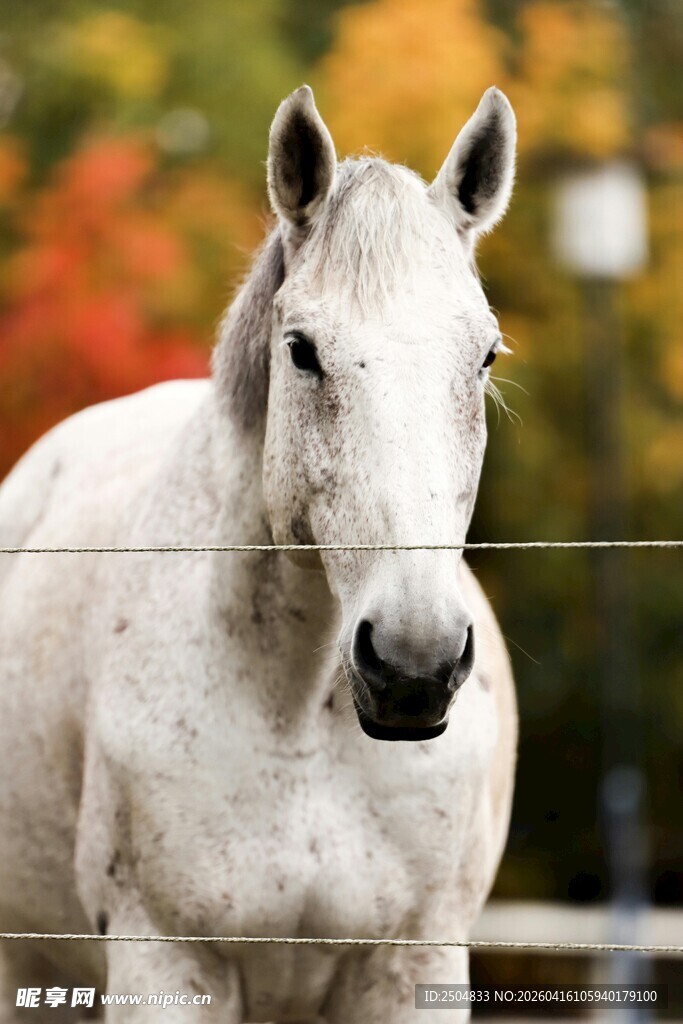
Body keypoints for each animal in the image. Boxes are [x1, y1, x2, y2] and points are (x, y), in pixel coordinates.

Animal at [0, 85, 517, 1022]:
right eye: (302, 351)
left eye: (484, 355)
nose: (412, 663)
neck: (302, 713)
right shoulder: (165, 963)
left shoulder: (412, 965)